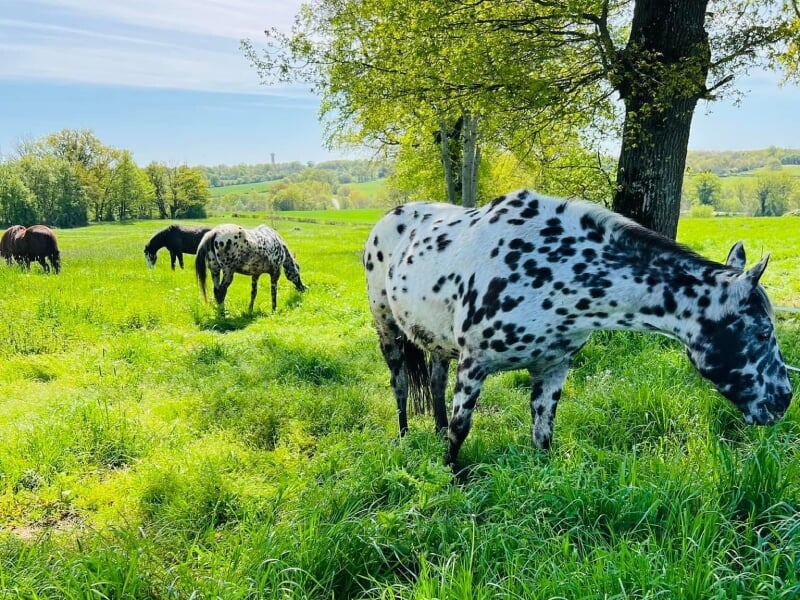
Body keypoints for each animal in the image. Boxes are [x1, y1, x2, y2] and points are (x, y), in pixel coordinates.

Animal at [364, 189, 794, 468]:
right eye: (762, 333)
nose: (784, 399)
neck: (552, 269)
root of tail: (389, 217)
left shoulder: (554, 368)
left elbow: (542, 435)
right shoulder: (474, 364)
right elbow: (460, 429)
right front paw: (450, 476)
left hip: (435, 340)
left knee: (435, 382)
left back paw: (431, 430)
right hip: (387, 330)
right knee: (401, 385)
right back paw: (404, 438)